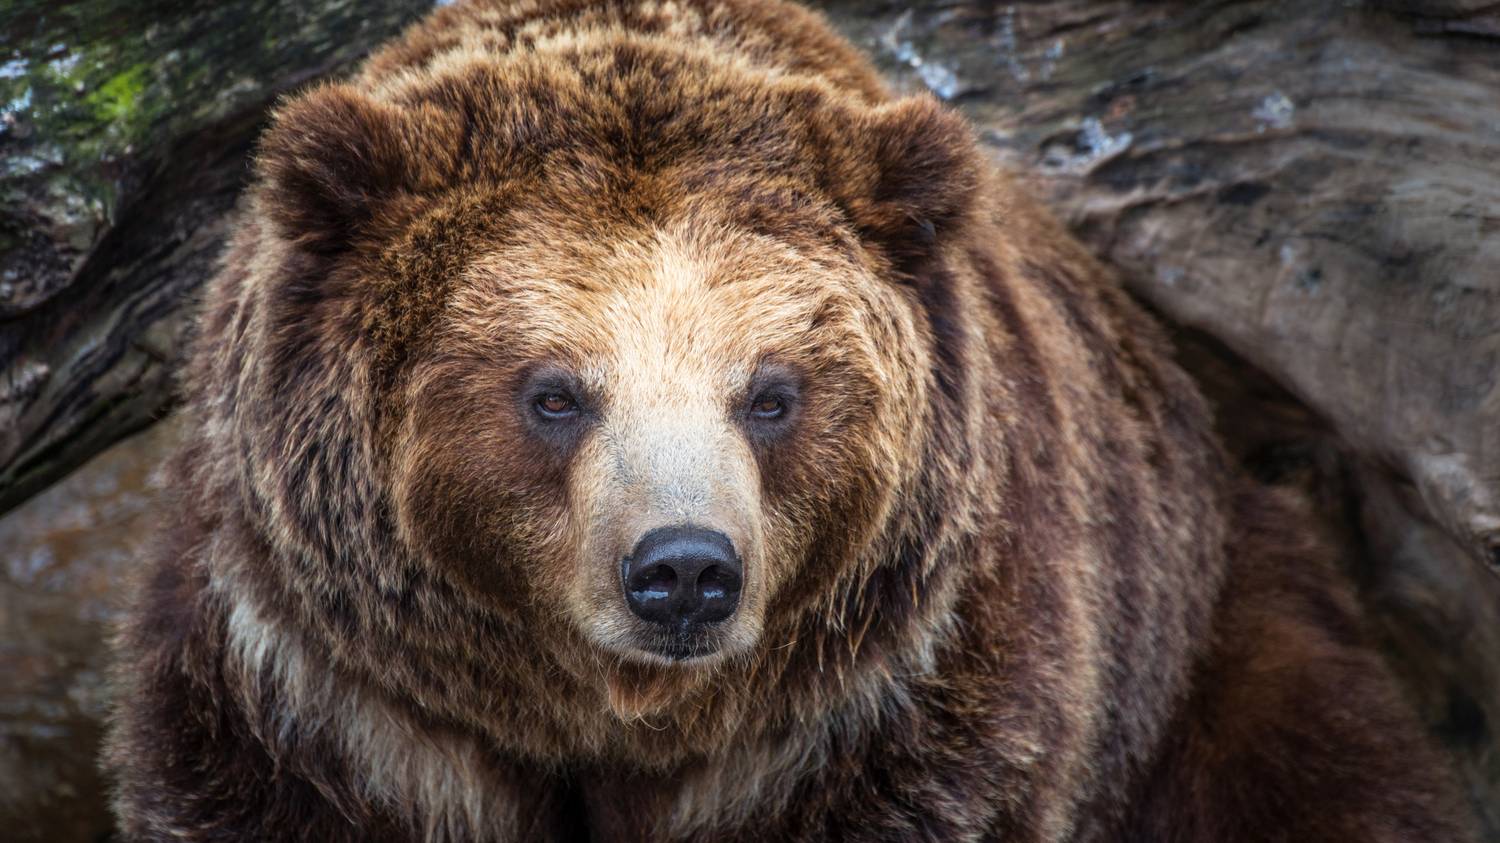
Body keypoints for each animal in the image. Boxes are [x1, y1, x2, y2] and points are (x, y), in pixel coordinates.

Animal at [102, 1, 1476, 840]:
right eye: (554, 392)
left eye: (772, 392)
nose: (684, 572)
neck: (606, 721)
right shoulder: (319, 698)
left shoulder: (899, 701)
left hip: (1216, 636)